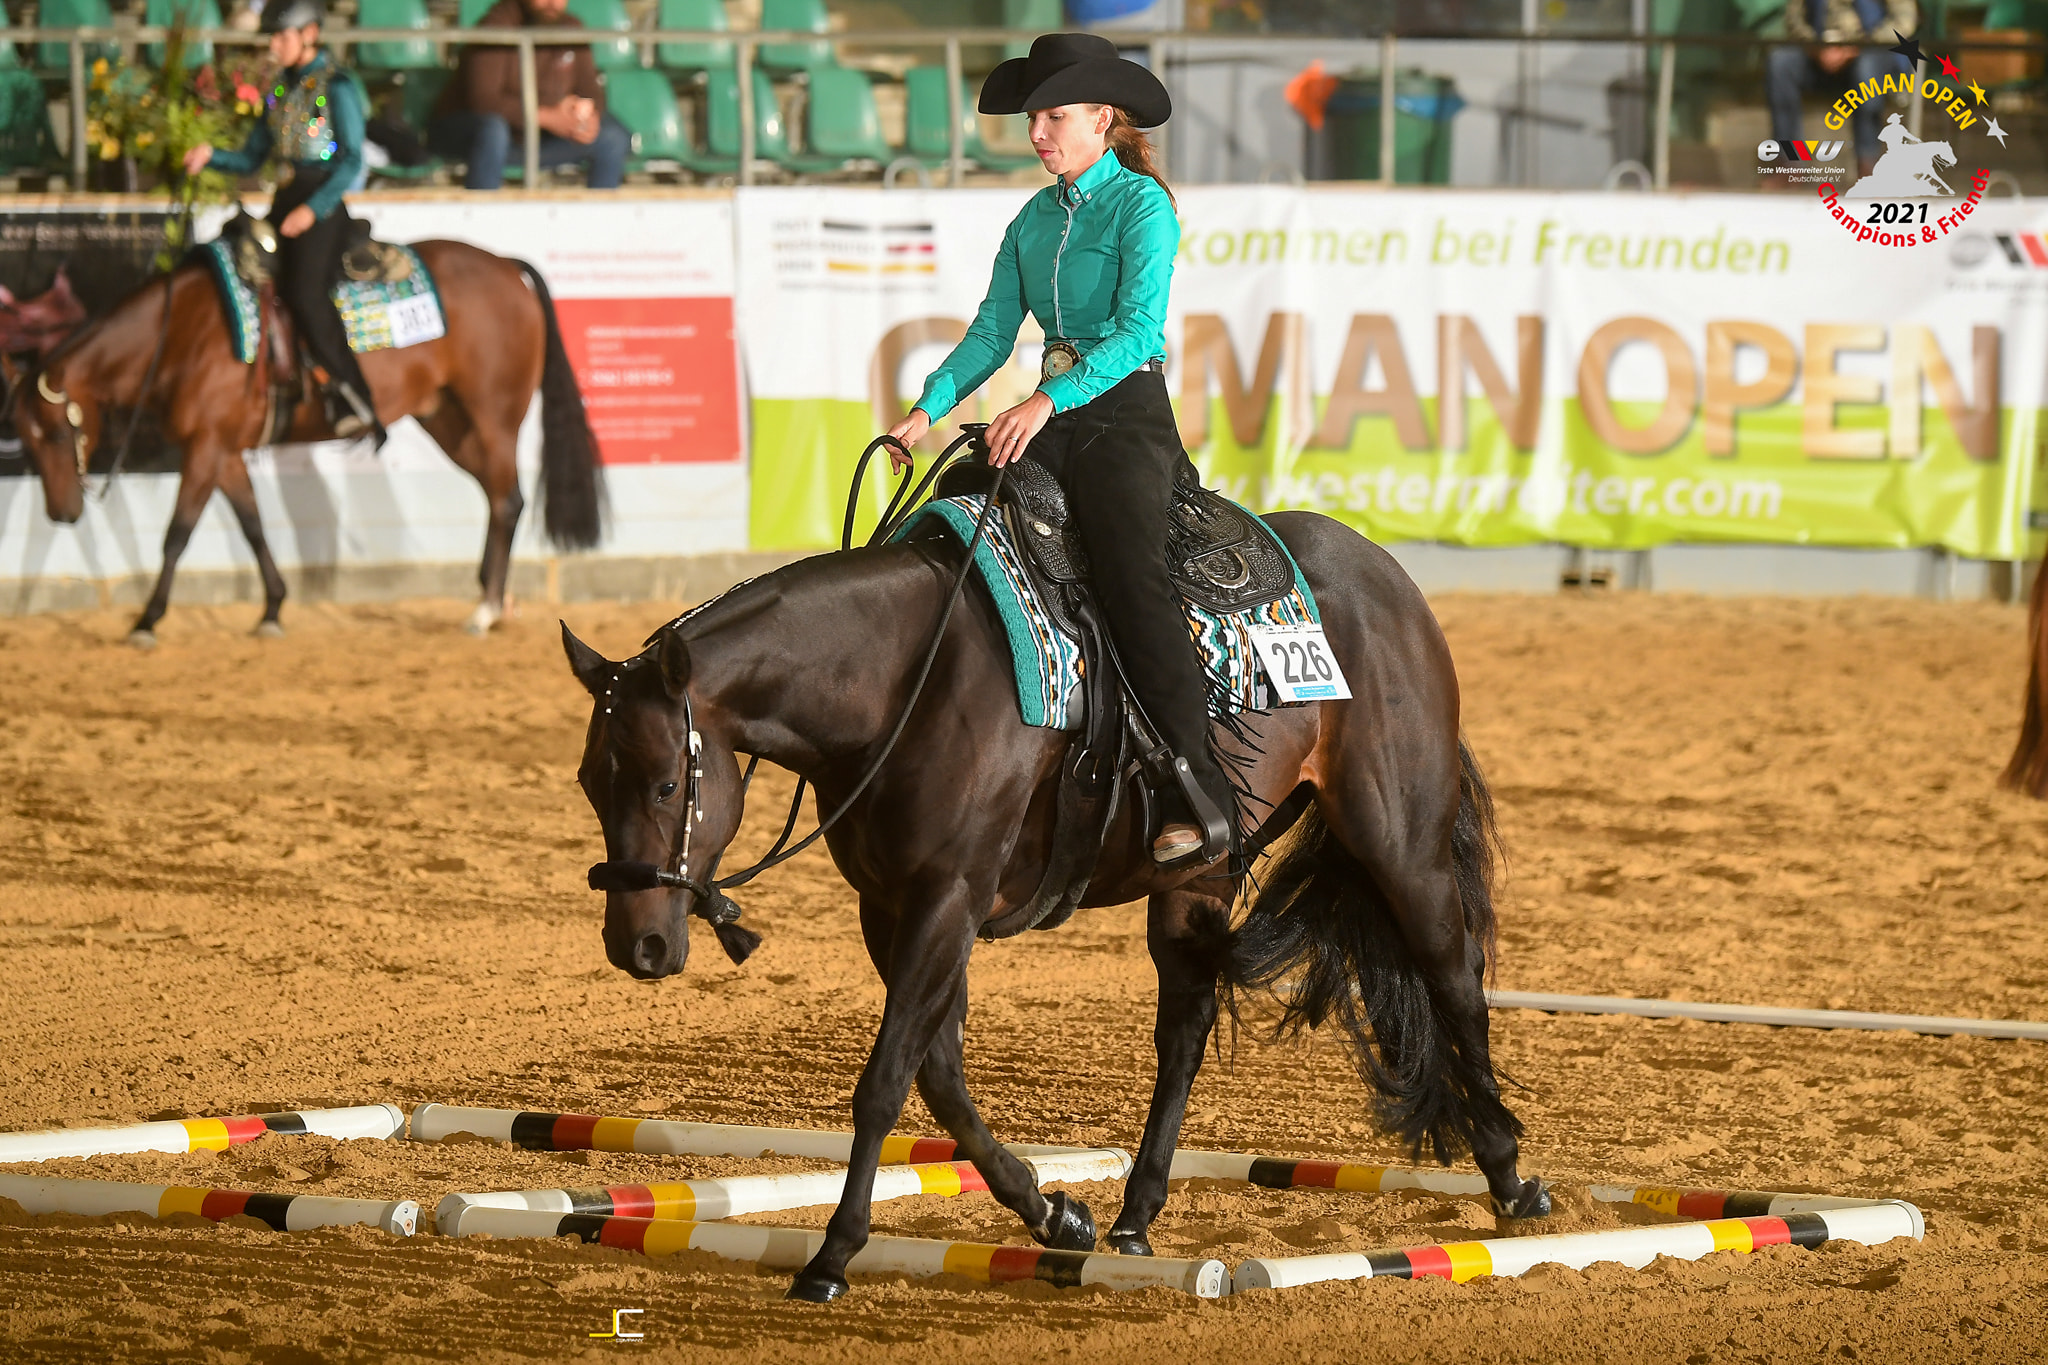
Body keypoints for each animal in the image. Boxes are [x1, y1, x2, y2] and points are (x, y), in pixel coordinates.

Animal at [9, 240, 598, 646]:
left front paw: (146, 621)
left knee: (508, 499)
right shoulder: (223, 452)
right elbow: (252, 527)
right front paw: (272, 610)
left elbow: (177, 535)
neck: (179, 335)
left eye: (56, 432)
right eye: (26, 442)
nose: (61, 513)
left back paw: (486, 609)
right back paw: (490, 602)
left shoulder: (204, 448)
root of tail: (503, 265)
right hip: (449, 421)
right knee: (499, 500)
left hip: (493, 418)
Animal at [561, 501, 1548, 1301]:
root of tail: (1388, 574)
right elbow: (938, 1074)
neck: (905, 679)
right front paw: (1053, 1213)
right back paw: (1134, 1215)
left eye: (664, 783)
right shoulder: (893, 906)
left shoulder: (947, 899)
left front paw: (833, 1255)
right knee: (1186, 1027)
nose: (636, 945)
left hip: (1401, 841)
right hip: (1196, 878)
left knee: (1455, 977)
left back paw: (1511, 1179)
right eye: (588, 782)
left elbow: (884, 1081)